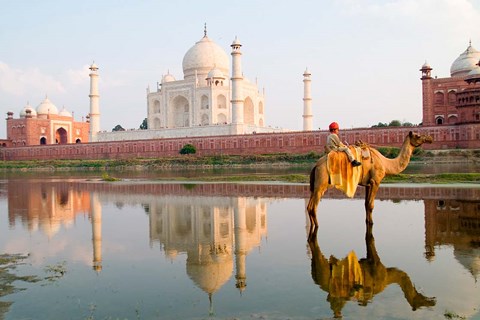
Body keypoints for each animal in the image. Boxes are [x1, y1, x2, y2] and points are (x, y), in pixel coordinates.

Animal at [308, 131, 436, 228]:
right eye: (418, 136)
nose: (430, 138)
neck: (385, 163)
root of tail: (316, 165)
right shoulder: (376, 181)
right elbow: (371, 205)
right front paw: (372, 223)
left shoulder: (368, 184)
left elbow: (366, 204)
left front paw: (368, 222)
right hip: (322, 182)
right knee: (314, 207)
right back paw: (317, 226)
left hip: (315, 184)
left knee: (309, 206)